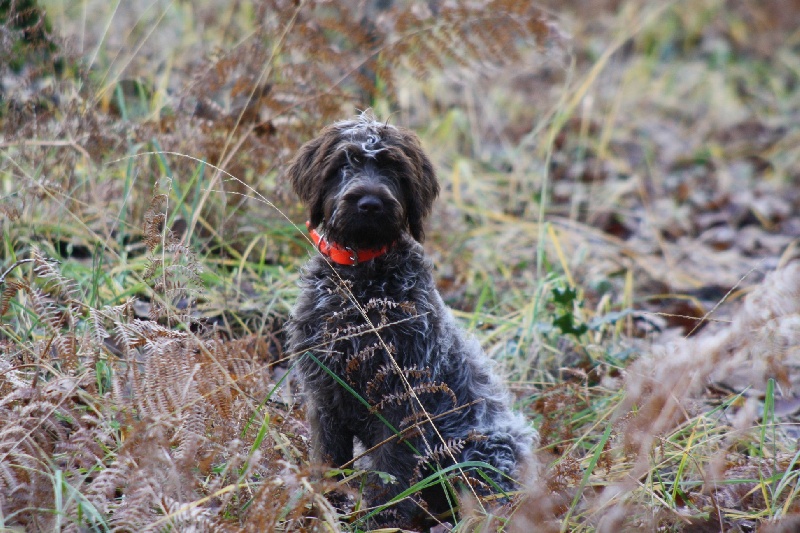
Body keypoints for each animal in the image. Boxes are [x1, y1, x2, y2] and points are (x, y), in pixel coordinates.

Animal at [286, 112, 536, 527]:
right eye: (344, 163)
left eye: (394, 168)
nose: (370, 203)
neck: (363, 281)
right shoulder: (325, 399)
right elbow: (330, 466)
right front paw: (324, 512)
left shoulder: (402, 405)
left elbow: (392, 478)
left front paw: (380, 525)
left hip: (481, 451)